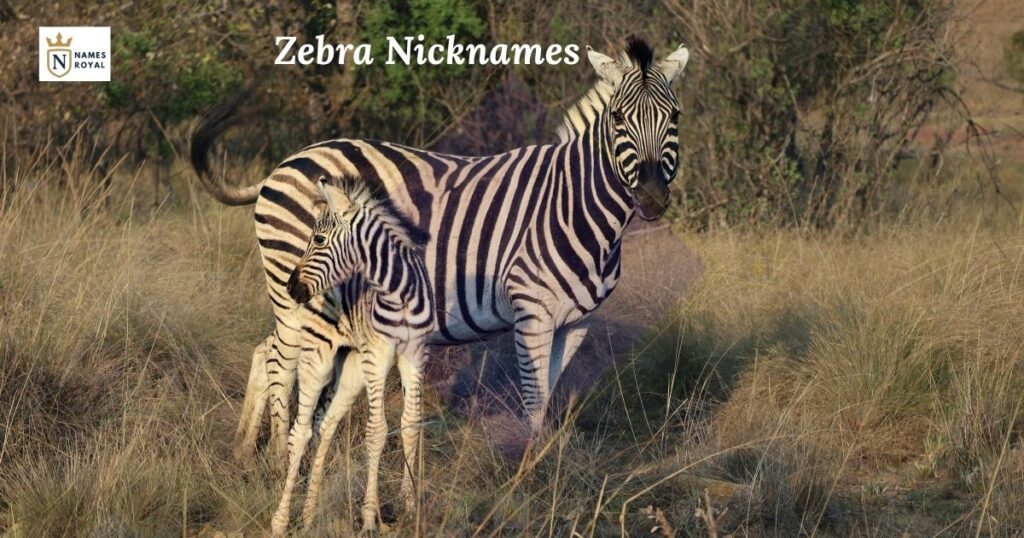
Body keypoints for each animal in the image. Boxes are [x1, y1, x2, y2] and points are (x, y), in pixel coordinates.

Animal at [189, 36, 690, 462]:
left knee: (265, 350)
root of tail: (284, 164)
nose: (650, 198)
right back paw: (277, 456)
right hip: (297, 286)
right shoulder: (531, 310)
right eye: (619, 120)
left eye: (675, 118)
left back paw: (244, 449)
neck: (575, 205)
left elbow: (548, 396)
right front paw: (526, 470)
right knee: (281, 360)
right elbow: (532, 399)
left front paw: (543, 462)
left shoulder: (576, 321)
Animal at [270, 177, 433, 535]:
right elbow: (377, 431)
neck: (399, 293)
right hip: (318, 358)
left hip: (352, 370)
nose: (291, 288)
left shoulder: (415, 354)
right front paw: (370, 518)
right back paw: (280, 520)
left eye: (318, 239)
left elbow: (411, 424)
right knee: (300, 433)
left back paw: (308, 516)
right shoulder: (378, 355)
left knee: (326, 425)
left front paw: (410, 507)